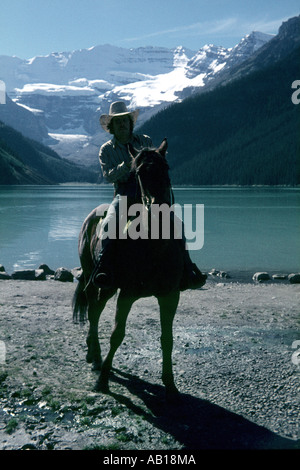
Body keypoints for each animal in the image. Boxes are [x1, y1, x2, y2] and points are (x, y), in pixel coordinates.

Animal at [72, 138, 185, 398]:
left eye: (166, 167)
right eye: (139, 172)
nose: (159, 209)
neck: (153, 248)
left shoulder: (170, 296)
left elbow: (167, 339)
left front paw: (170, 384)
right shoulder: (126, 294)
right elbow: (117, 335)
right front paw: (102, 380)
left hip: (108, 287)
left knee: (95, 309)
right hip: (95, 278)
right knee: (93, 311)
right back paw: (94, 357)